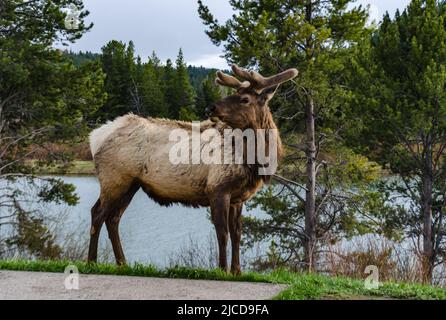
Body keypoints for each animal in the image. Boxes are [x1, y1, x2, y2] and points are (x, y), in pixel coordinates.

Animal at [87, 65, 298, 276]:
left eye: (245, 99)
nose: (210, 108)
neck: (254, 160)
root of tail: (94, 137)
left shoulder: (238, 197)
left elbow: (237, 233)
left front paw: (237, 271)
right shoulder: (217, 188)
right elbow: (222, 233)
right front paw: (222, 269)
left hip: (131, 184)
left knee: (113, 219)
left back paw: (122, 263)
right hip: (114, 178)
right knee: (97, 213)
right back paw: (91, 261)